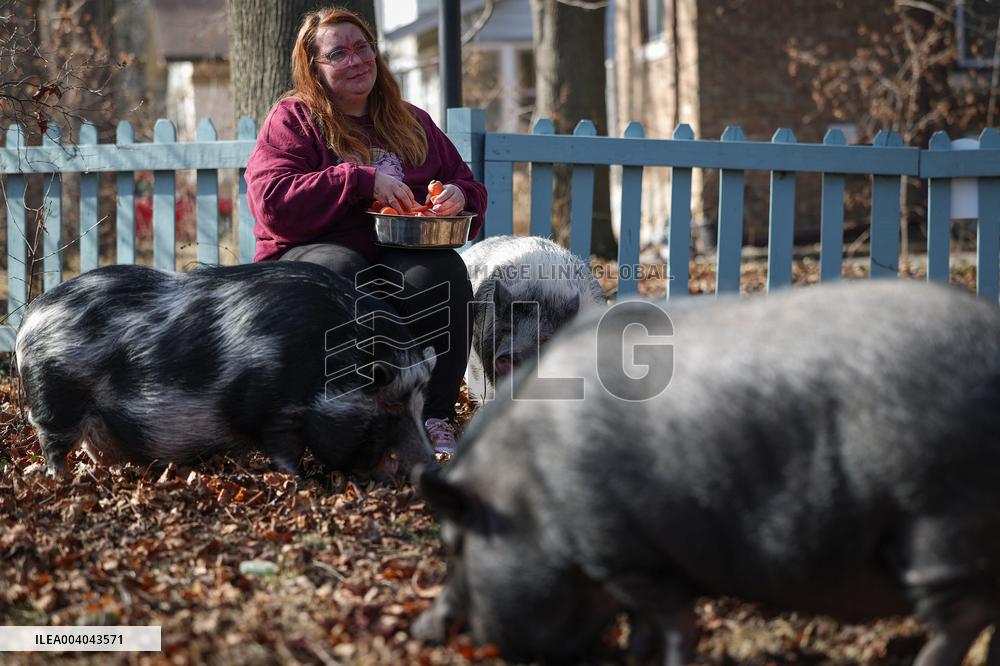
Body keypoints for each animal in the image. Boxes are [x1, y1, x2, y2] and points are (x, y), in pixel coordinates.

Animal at [15, 262, 436, 478]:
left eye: (420, 406)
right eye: (388, 407)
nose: (431, 467)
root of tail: (28, 322)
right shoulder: (272, 411)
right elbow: (286, 451)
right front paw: (300, 480)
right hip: (55, 401)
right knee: (53, 445)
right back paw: (62, 479)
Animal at [414, 279, 1000, 666]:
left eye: (455, 543)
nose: (422, 631)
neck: (525, 488)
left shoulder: (620, 549)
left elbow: (672, 623)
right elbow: (646, 624)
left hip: (937, 516)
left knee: (965, 615)